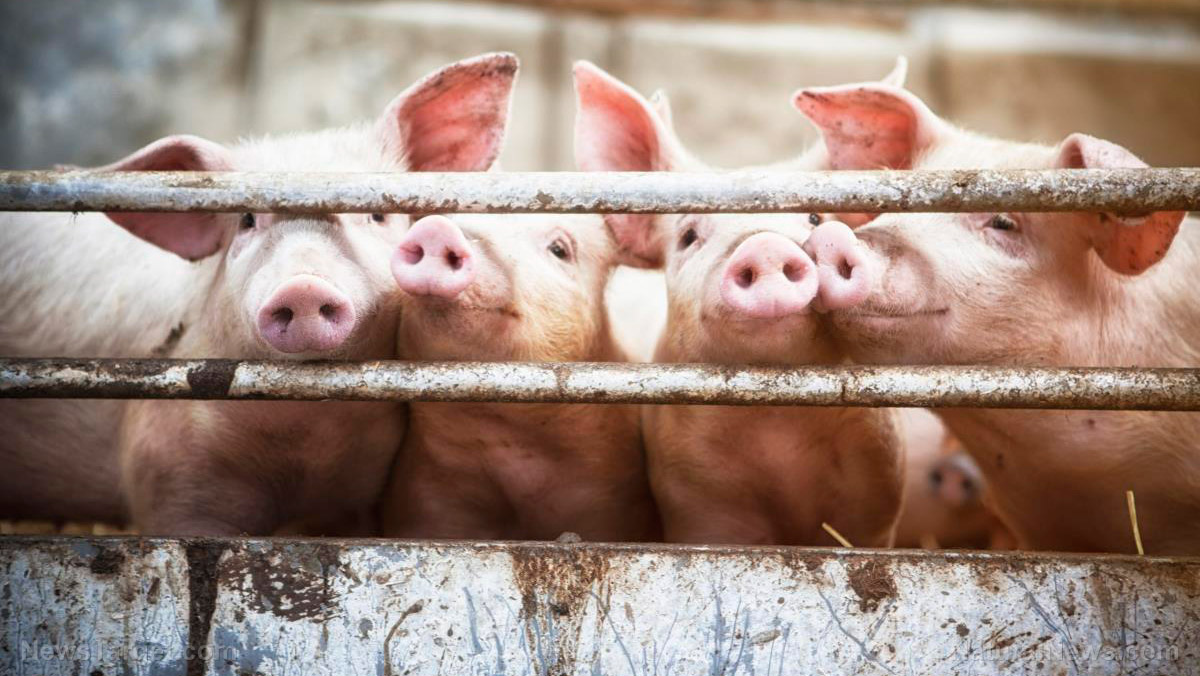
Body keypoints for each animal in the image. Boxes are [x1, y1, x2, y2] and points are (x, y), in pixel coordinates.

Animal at [572, 61, 905, 546]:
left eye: (815, 217)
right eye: (689, 236)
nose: (764, 245)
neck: (775, 427)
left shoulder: (877, 495)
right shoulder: (696, 500)